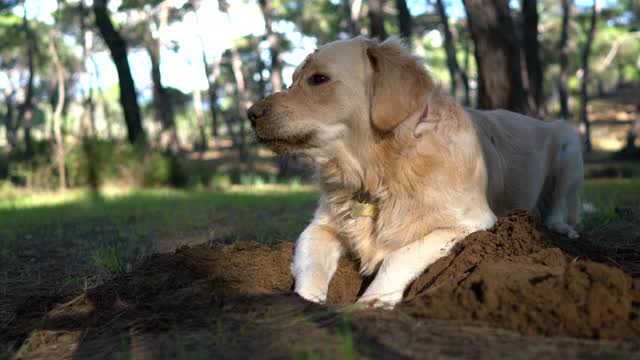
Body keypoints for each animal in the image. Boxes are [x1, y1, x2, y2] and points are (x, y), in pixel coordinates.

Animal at [248, 35, 584, 306]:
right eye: (292, 79)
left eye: (319, 79)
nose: (251, 113)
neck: (379, 172)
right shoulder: (320, 227)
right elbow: (310, 267)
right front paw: (303, 305)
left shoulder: (473, 223)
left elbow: (400, 255)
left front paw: (372, 301)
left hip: (569, 143)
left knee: (559, 206)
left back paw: (559, 227)